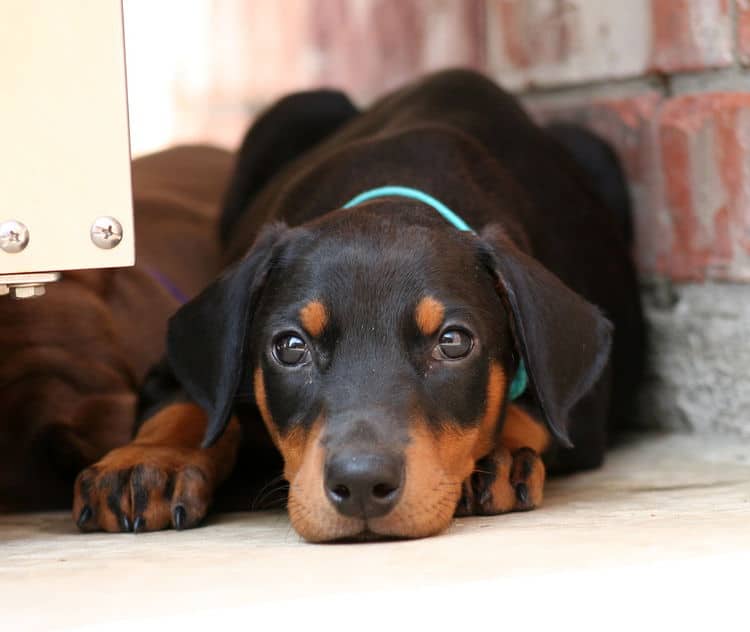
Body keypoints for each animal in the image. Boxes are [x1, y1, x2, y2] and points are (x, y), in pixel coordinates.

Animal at [73, 70, 648, 544]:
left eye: (454, 342)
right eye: (289, 347)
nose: (362, 484)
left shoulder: (584, 410)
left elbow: (535, 411)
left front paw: (497, 459)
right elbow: (191, 401)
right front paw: (147, 463)